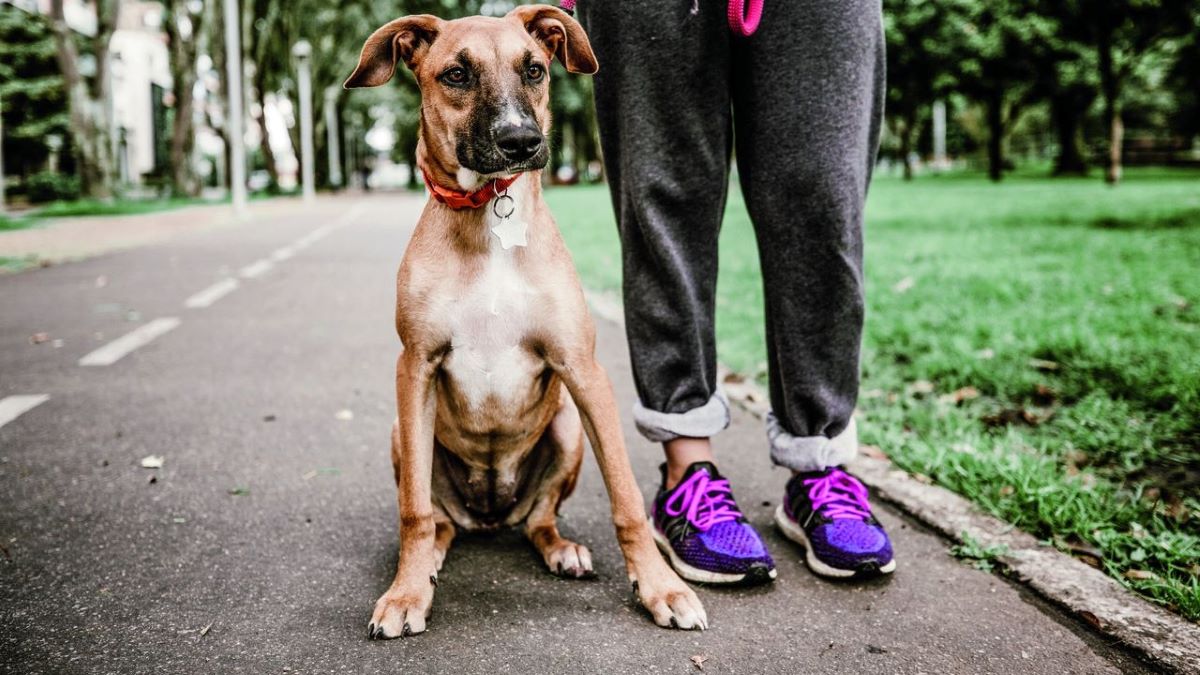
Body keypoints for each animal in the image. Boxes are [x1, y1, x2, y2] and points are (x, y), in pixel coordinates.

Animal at [343, 5, 705, 634]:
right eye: (456, 74)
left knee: (540, 520)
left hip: (565, 427)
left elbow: (627, 499)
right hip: (403, 433)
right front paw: (406, 593)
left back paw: (563, 549)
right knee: (438, 519)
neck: (488, 213)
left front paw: (663, 587)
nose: (521, 141)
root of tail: (490, 516)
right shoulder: (415, 367)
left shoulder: (583, 369)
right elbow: (413, 510)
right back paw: (430, 560)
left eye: (534, 69)